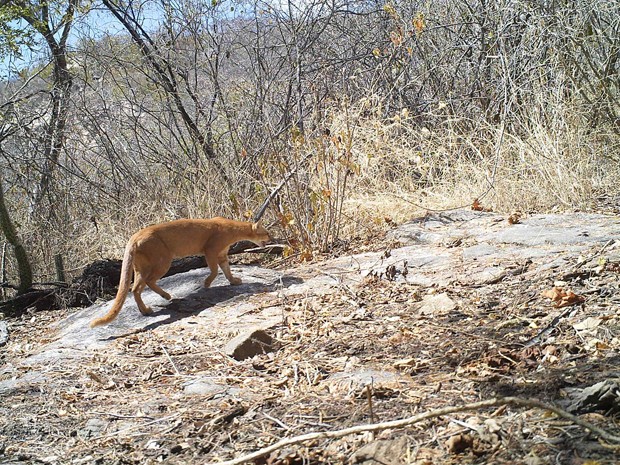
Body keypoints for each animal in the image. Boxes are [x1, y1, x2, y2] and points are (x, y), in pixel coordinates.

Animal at [89, 218, 268, 326]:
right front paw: (206, 283)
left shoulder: (222, 254)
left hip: (141, 267)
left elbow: (226, 269)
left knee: (135, 288)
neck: (233, 229)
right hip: (163, 260)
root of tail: (134, 237)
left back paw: (146, 309)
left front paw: (233, 281)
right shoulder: (210, 250)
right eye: (267, 232)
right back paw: (164, 297)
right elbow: (215, 269)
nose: (272, 238)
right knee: (144, 284)